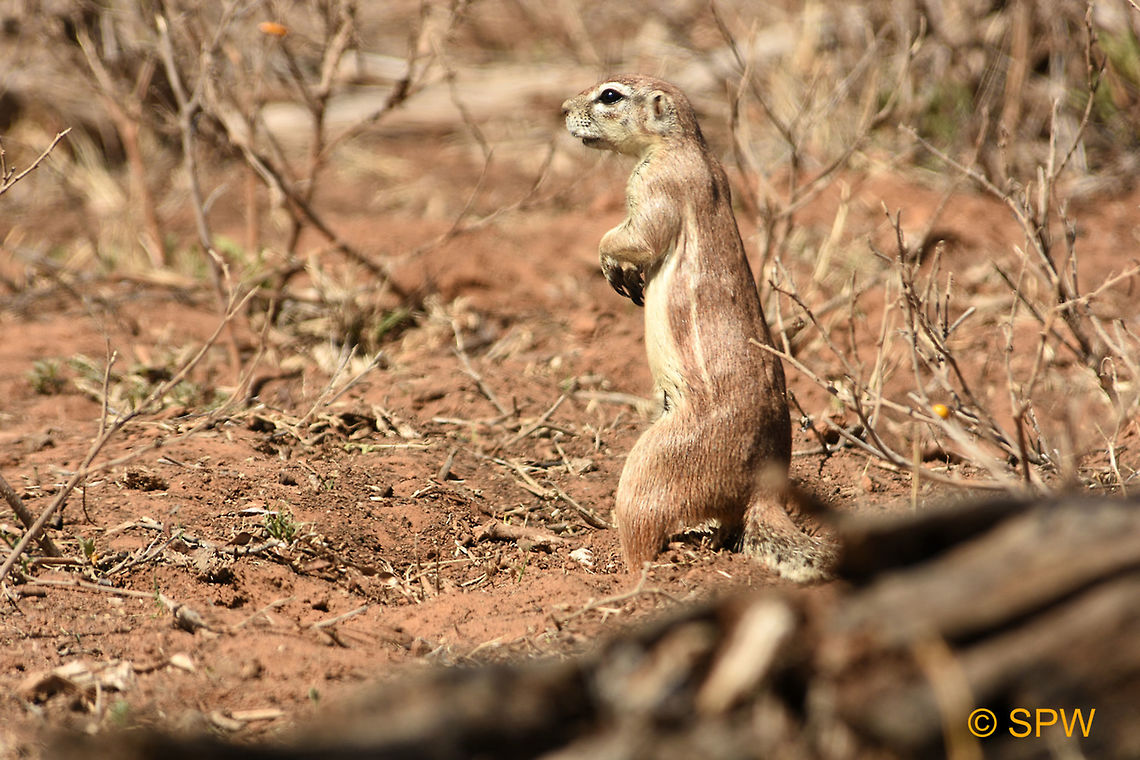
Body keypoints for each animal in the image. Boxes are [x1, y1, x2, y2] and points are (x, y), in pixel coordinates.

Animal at [562, 75, 833, 581]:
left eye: (610, 95)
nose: (563, 108)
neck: (685, 146)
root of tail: (765, 488)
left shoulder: (657, 186)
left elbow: (633, 236)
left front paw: (611, 263)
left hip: (652, 467)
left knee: (642, 532)